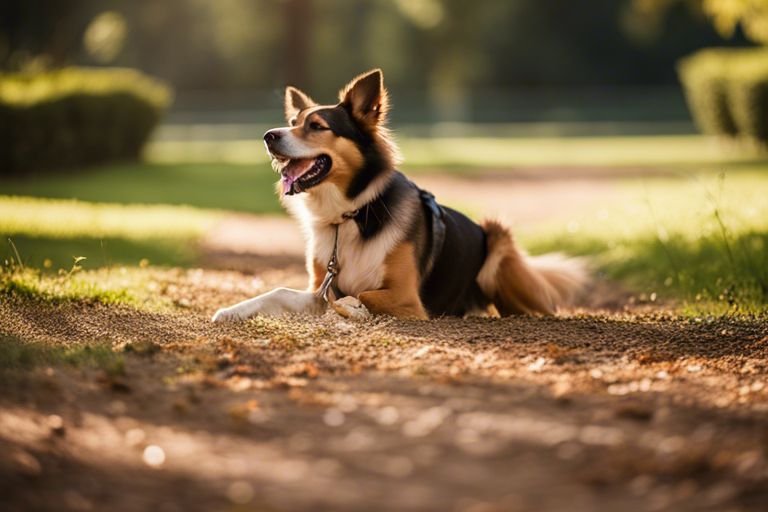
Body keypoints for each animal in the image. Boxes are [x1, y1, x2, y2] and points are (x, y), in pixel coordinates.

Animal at [213, 70, 584, 322]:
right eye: (292, 121)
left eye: (317, 126)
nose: (268, 136)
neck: (352, 214)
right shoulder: (317, 287)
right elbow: (278, 291)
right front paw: (232, 310)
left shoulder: (408, 298)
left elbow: (361, 294)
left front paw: (351, 306)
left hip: (498, 240)